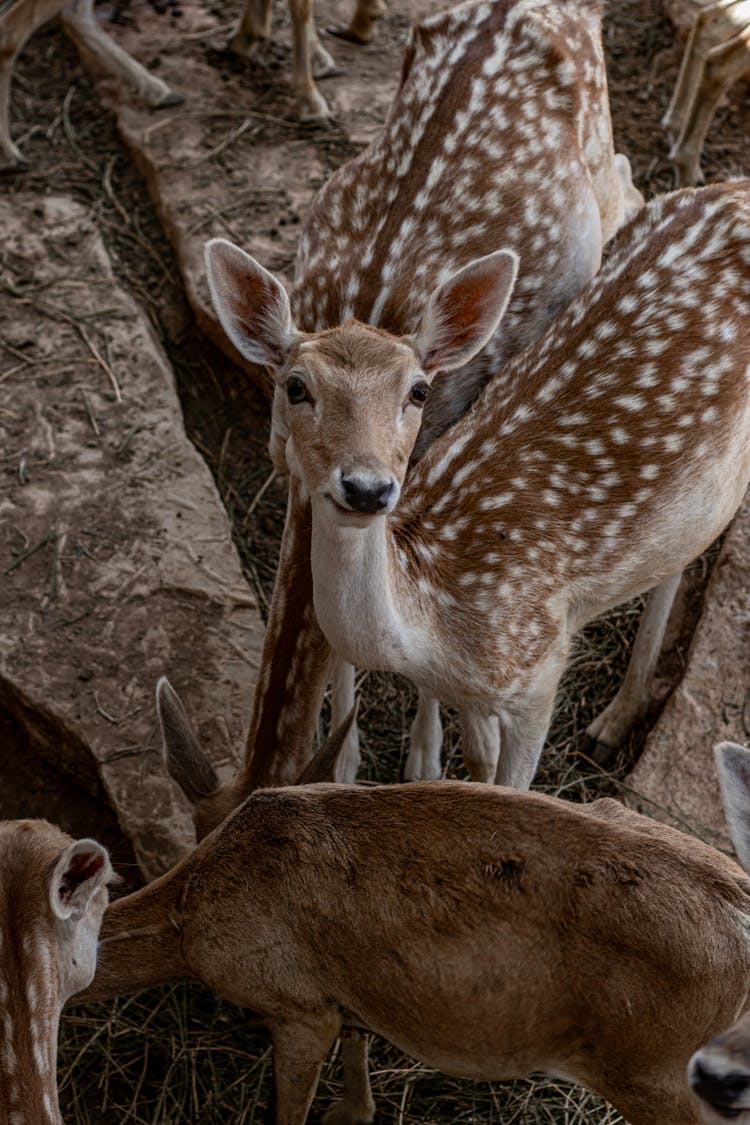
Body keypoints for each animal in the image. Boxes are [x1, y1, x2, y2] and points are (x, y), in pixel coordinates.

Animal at [74, 675, 750, 1125]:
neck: (192, 914)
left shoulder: (296, 1008)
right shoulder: (346, 995)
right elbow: (357, 1050)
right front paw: (354, 1111)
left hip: (660, 1079)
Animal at [177, 0, 638, 828]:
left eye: (418, 392)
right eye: (293, 387)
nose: (360, 483)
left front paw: (425, 757)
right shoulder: (288, 460)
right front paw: (349, 756)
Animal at [202, 180, 750, 796]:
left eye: (418, 391)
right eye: (294, 386)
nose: (367, 487)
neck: (436, 626)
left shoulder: (540, 665)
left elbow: (512, 787)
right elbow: (476, 760)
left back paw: (612, 721)